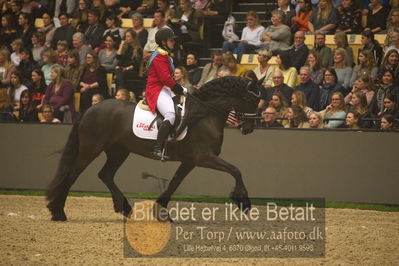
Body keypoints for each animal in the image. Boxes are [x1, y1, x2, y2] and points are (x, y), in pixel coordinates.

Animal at [47, 76, 260, 221]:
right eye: (251, 100)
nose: (248, 129)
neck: (205, 115)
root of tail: (89, 110)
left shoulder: (190, 161)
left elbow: (174, 183)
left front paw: (160, 212)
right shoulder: (204, 157)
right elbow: (236, 170)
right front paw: (244, 202)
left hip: (118, 152)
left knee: (105, 174)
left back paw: (125, 207)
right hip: (90, 150)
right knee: (72, 174)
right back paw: (58, 212)